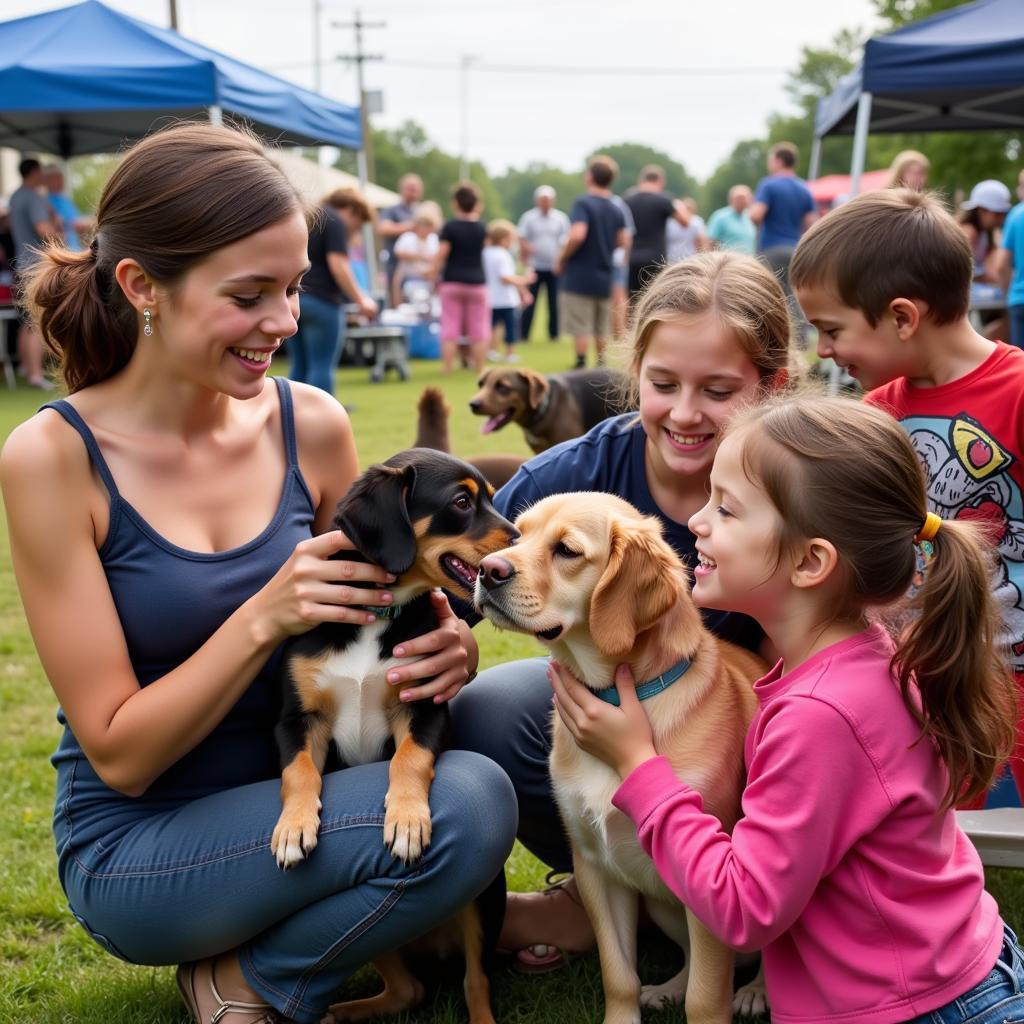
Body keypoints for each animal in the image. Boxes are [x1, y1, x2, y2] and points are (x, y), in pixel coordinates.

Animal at [272, 450, 516, 1024]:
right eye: (462, 501)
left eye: (491, 497)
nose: (518, 540)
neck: (377, 612)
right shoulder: (297, 720)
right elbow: (299, 771)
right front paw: (293, 829)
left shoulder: (424, 709)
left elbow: (409, 759)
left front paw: (407, 821)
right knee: (409, 990)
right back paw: (341, 1011)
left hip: (481, 901)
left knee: (474, 981)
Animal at [473, 491, 770, 1024]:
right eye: (517, 536)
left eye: (566, 550)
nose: (488, 570)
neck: (616, 697)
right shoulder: (596, 866)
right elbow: (620, 975)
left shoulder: (712, 880)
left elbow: (707, 995)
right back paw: (669, 986)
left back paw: (756, 992)